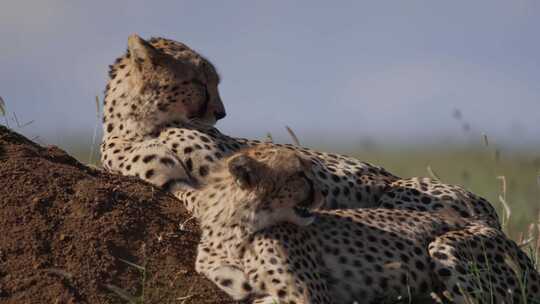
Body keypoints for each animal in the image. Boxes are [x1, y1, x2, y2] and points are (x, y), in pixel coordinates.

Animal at [101, 34, 502, 227]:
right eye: (200, 83)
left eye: (214, 81)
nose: (221, 112)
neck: (140, 125)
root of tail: (490, 208)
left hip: (400, 193)